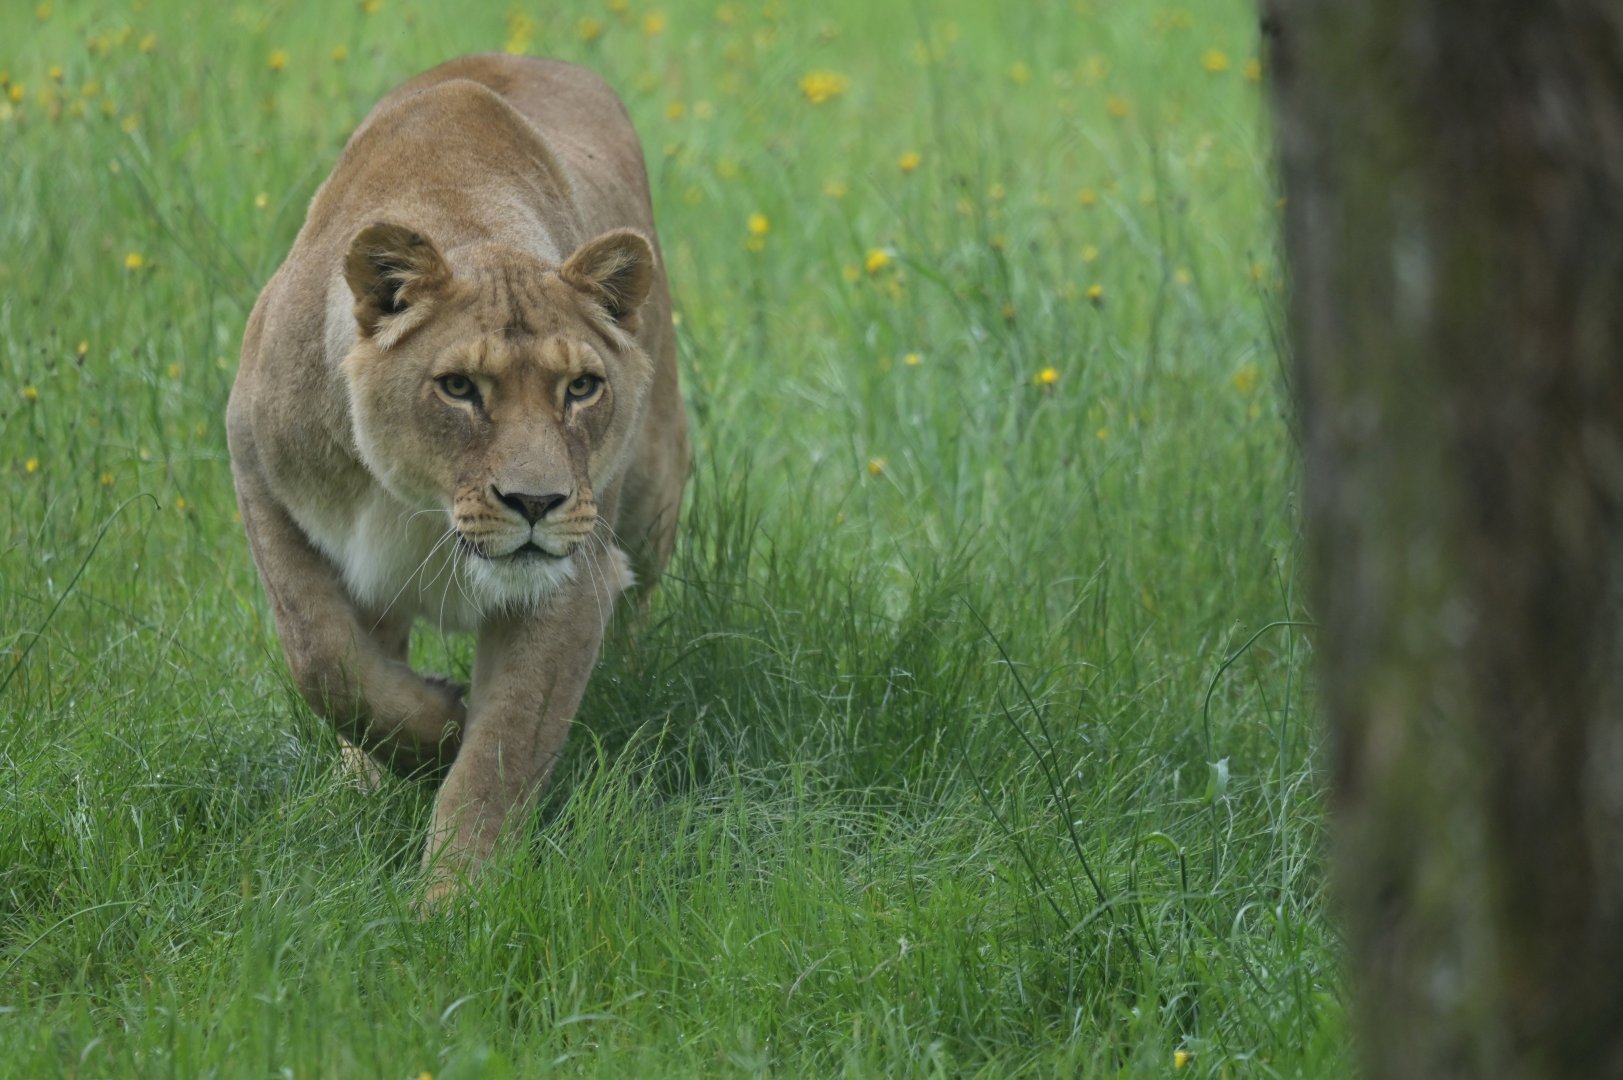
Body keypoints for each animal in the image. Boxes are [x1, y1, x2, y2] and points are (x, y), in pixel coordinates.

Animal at [226, 54, 689, 903]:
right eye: (459, 388)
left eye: (581, 388)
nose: (536, 502)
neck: (421, 503)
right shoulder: (260, 480)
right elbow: (322, 656)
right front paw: (432, 732)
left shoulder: (571, 581)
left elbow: (499, 754)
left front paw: (454, 903)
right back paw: (363, 778)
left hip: (650, 493)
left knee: (637, 606)